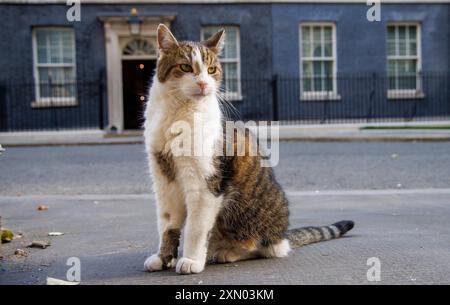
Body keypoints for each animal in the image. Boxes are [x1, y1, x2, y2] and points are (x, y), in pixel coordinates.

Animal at [142, 25, 354, 274]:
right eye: (185, 67)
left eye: (212, 70)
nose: (204, 83)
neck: (177, 114)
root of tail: (283, 235)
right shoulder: (164, 181)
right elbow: (167, 224)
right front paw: (163, 257)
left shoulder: (204, 186)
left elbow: (196, 228)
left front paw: (192, 260)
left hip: (248, 219)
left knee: (262, 248)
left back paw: (225, 252)